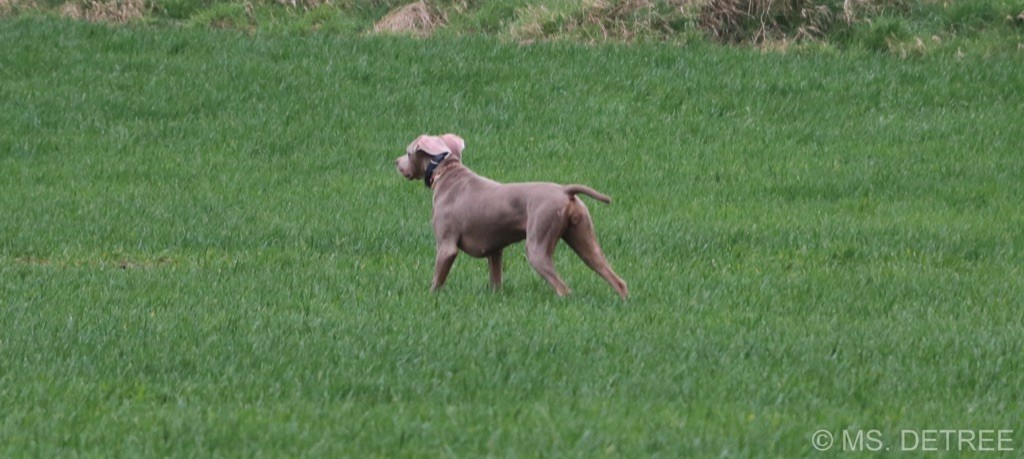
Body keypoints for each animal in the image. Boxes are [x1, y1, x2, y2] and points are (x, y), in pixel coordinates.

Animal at [395, 133, 626, 299]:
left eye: (408, 152)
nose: (396, 162)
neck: (448, 172)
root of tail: (565, 191)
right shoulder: (495, 251)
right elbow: (496, 278)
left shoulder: (446, 246)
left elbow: (437, 280)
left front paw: (430, 298)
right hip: (584, 240)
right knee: (616, 278)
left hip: (538, 245)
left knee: (563, 289)